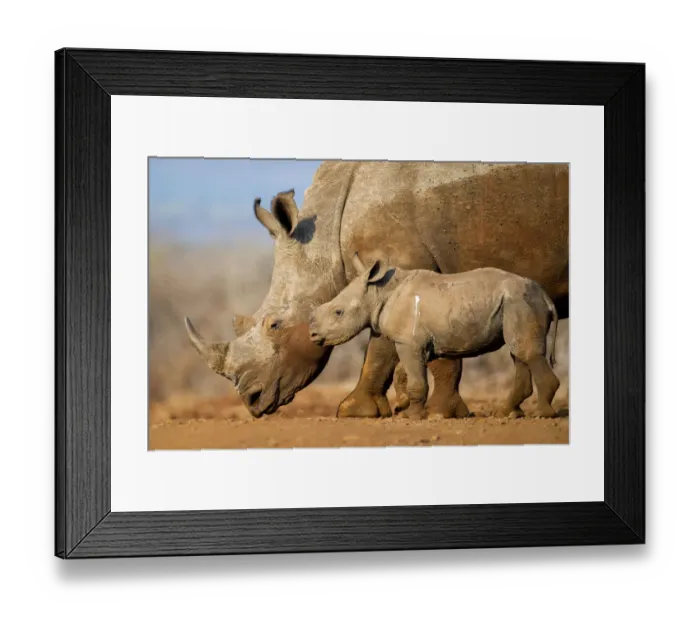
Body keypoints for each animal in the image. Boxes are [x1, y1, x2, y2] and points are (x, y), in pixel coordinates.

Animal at [309, 255, 560, 420]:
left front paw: (412, 416)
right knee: (518, 353)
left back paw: (542, 415)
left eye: (338, 312)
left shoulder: (409, 342)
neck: (378, 292)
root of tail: (546, 297)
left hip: (521, 301)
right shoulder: (414, 341)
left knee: (527, 353)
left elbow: (416, 380)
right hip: (517, 302)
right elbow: (406, 374)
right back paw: (507, 414)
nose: (312, 334)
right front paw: (406, 409)